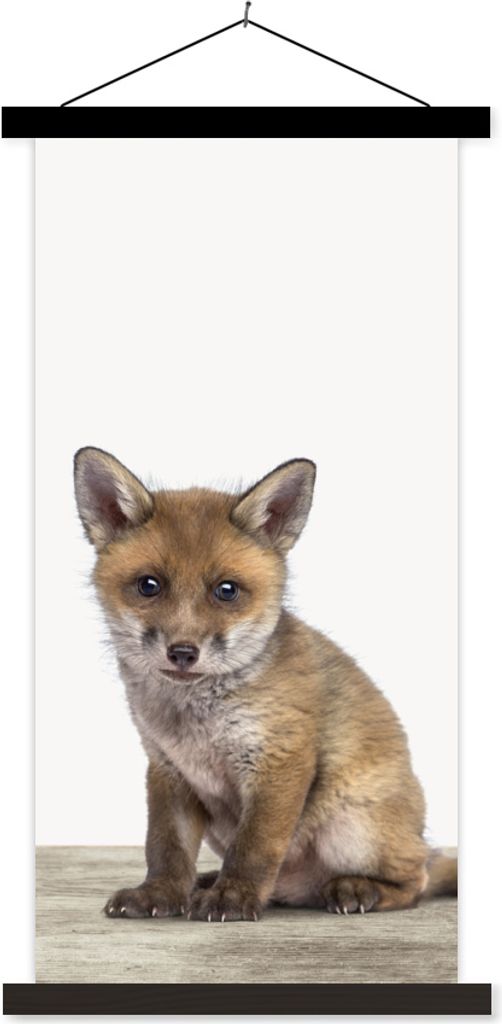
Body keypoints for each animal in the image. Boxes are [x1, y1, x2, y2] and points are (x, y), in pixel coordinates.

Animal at [74, 447, 457, 923]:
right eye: (149, 585)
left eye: (226, 590)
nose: (182, 652)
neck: (196, 724)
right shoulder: (167, 769)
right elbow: (165, 847)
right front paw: (160, 893)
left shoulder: (280, 760)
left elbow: (255, 847)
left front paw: (233, 897)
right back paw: (207, 883)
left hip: (354, 830)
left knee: (416, 880)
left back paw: (357, 888)